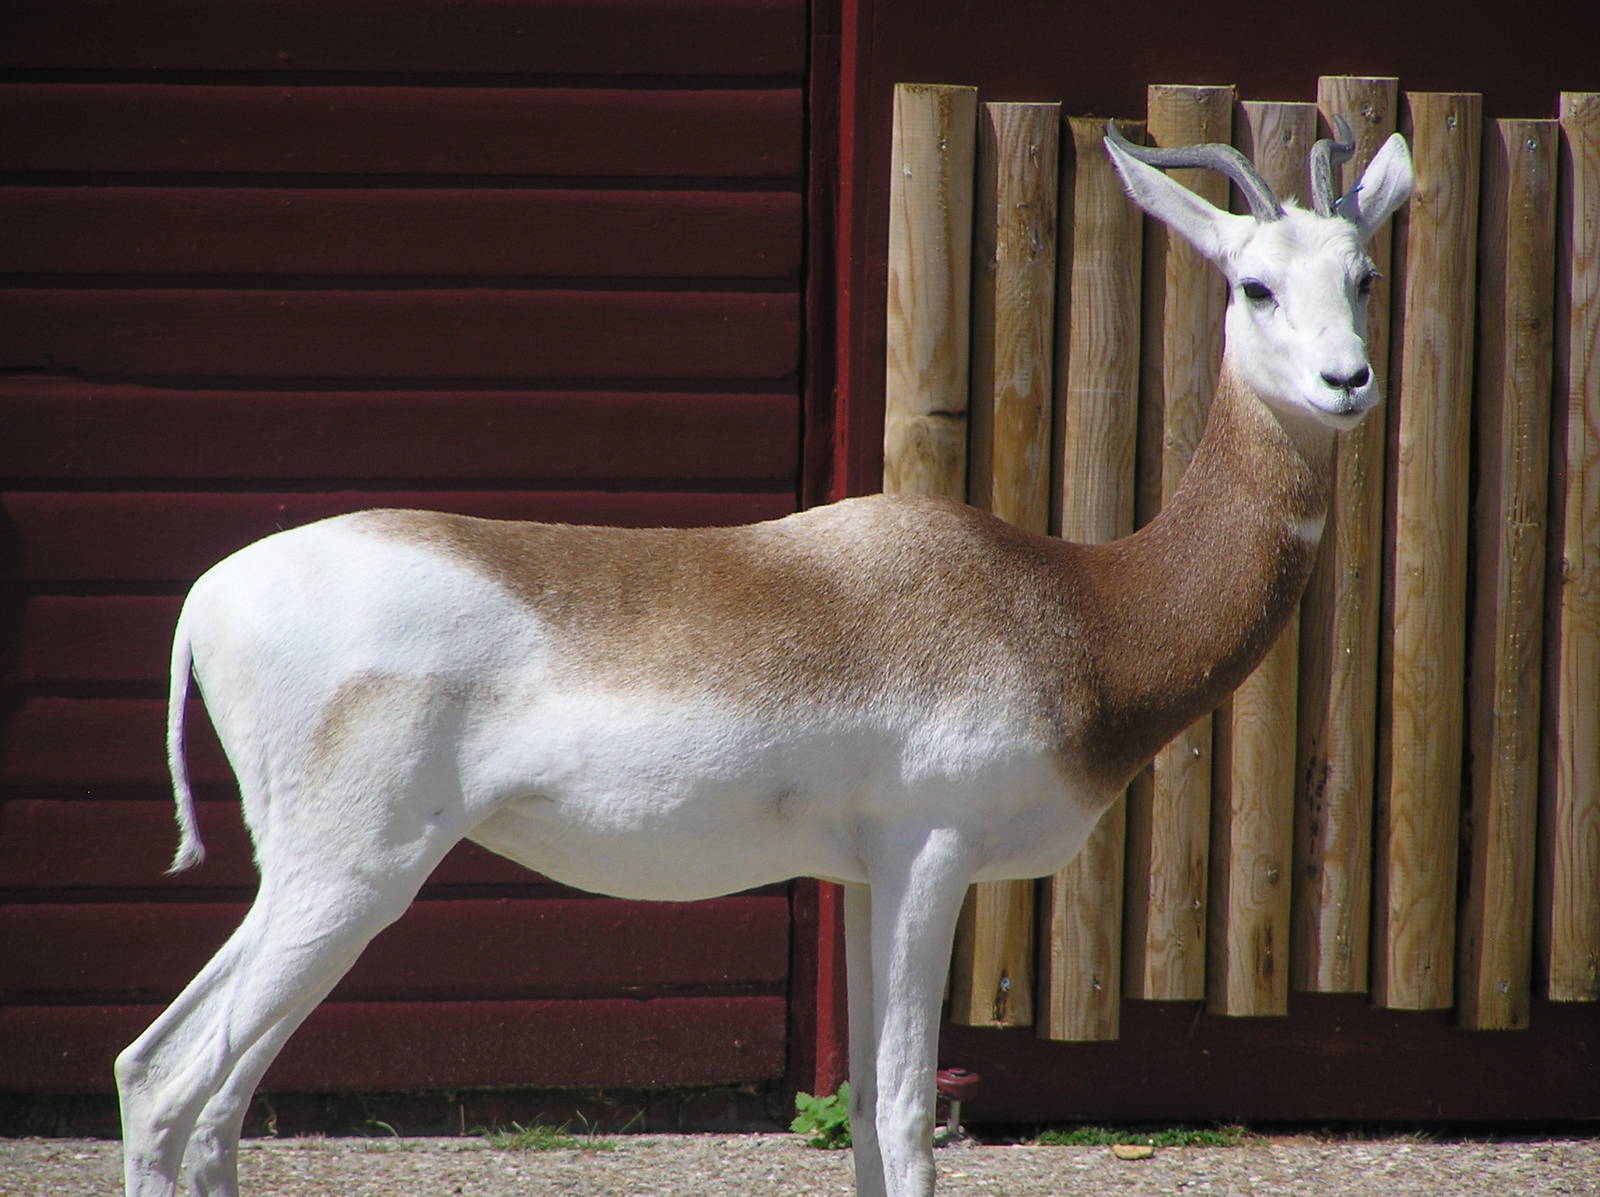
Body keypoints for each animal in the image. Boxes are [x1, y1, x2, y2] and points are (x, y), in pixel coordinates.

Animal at [116, 120, 1413, 1197]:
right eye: (1253, 284)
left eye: (1362, 276)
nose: (1349, 382)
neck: (1070, 604)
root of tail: (207, 598)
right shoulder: (932, 856)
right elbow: (902, 1119)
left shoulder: (861, 878)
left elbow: (872, 1133)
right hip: (352, 877)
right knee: (177, 1086)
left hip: (308, 880)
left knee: (177, 1090)